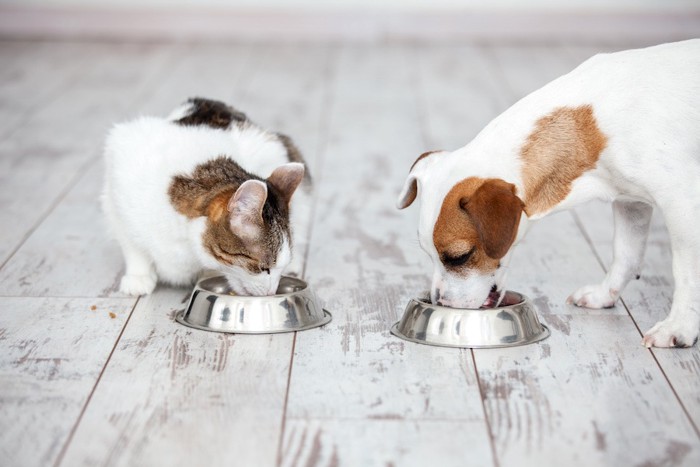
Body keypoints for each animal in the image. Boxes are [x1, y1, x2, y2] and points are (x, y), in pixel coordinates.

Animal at [102, 98, 310, 296]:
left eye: (278, 268)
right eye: (263, 268)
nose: (271, 292)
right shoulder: (117, 186)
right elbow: (132, 245)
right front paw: (138, 276)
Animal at [400, 39, 700, 348]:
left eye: (459, 257)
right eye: (427, 253)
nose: (440, 303)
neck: (591, 125)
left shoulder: (682, 203)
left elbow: (686, 272)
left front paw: (679, 327)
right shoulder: (630, 202)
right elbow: (625, 254)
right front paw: (604, 294)